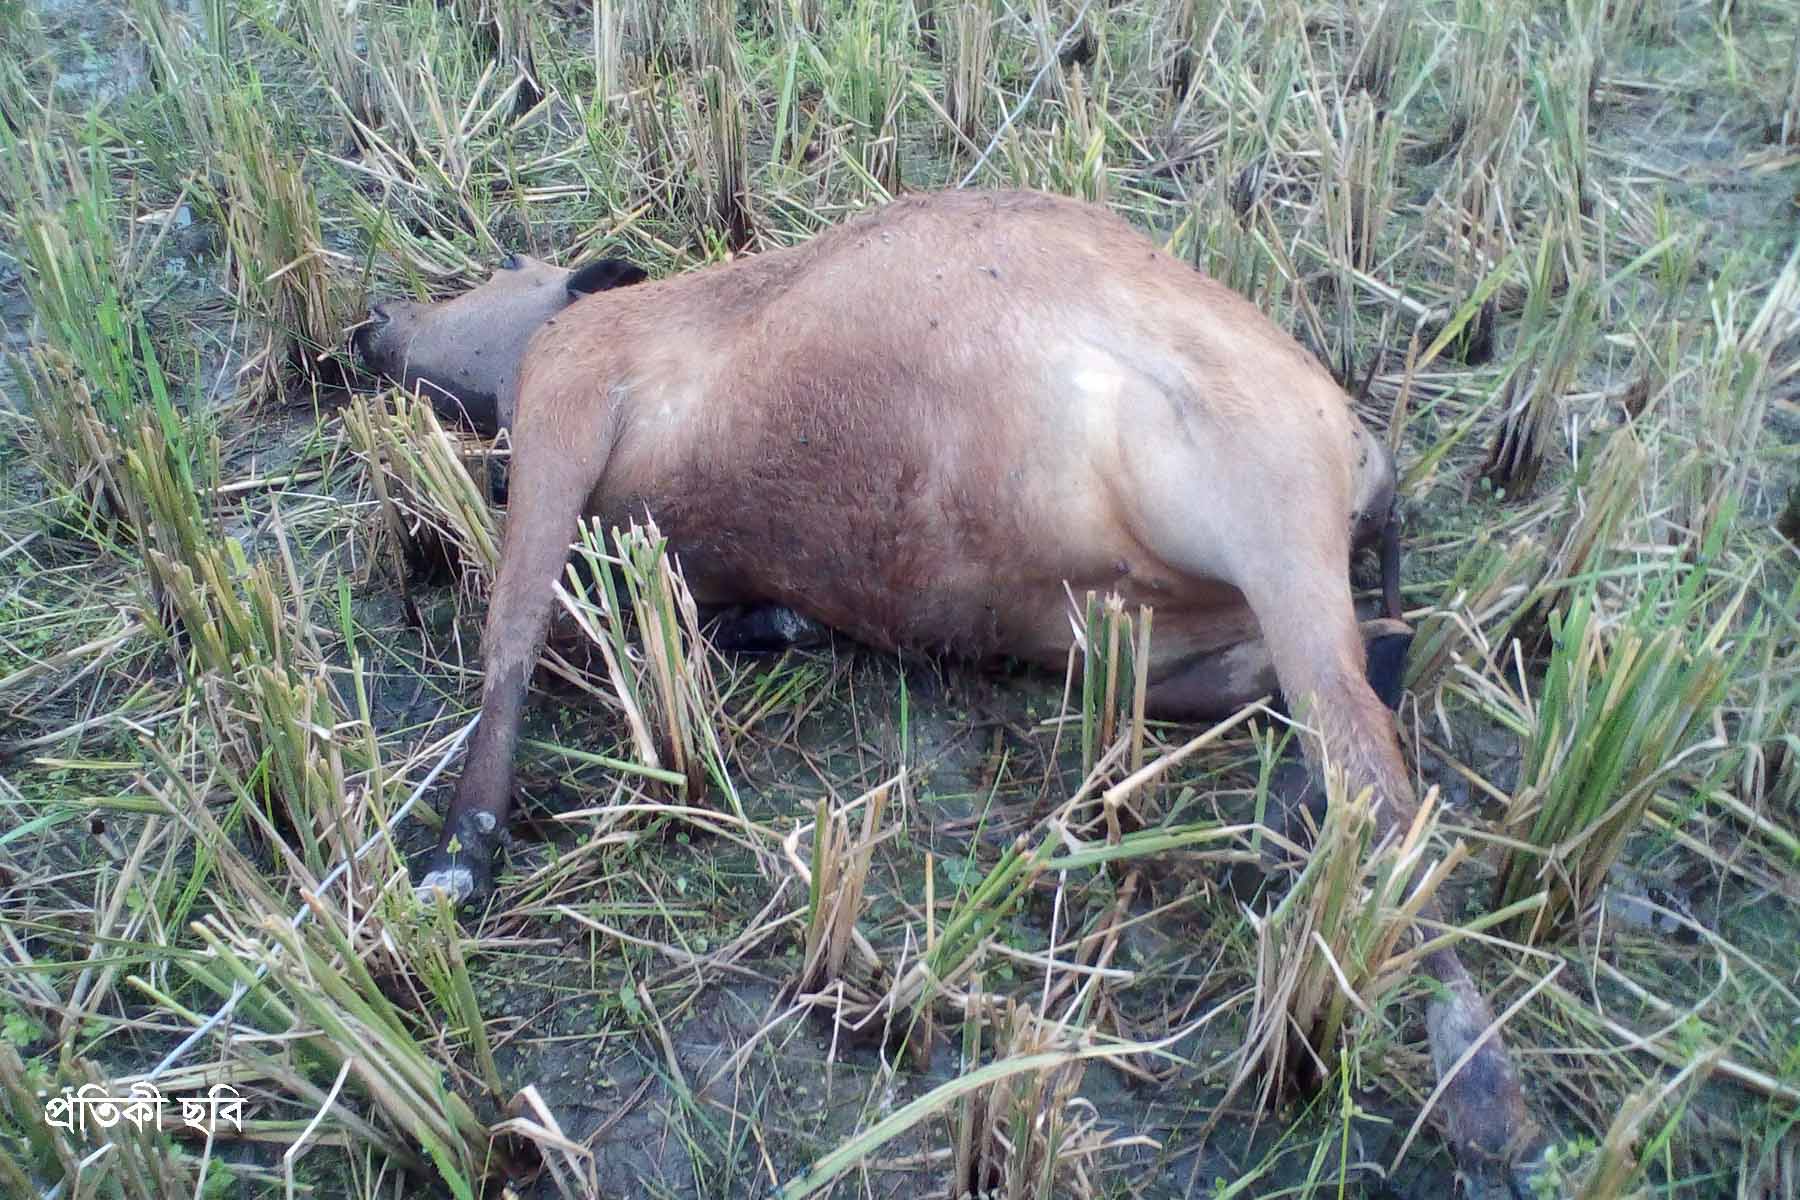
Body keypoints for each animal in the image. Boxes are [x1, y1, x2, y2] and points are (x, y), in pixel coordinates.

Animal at [361, 188, 1548, 1194]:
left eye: (504, 267)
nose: (374, 314)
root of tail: (1370, 457)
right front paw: (774, 629)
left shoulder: (570, 390)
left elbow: (516, 624)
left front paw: (456, 858)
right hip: (1142, 646)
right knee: (1368, 674)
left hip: (1262, 503)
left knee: (1377, 783)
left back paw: (1489, 1097)